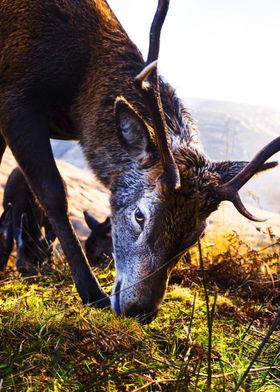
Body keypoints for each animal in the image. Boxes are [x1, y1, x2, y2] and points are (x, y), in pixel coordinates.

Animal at [0, 0, 280, 324]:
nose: (140, 310)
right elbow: (54, 195)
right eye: (139, 215)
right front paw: (92, 294)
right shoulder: (15, 102)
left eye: (196, 234)